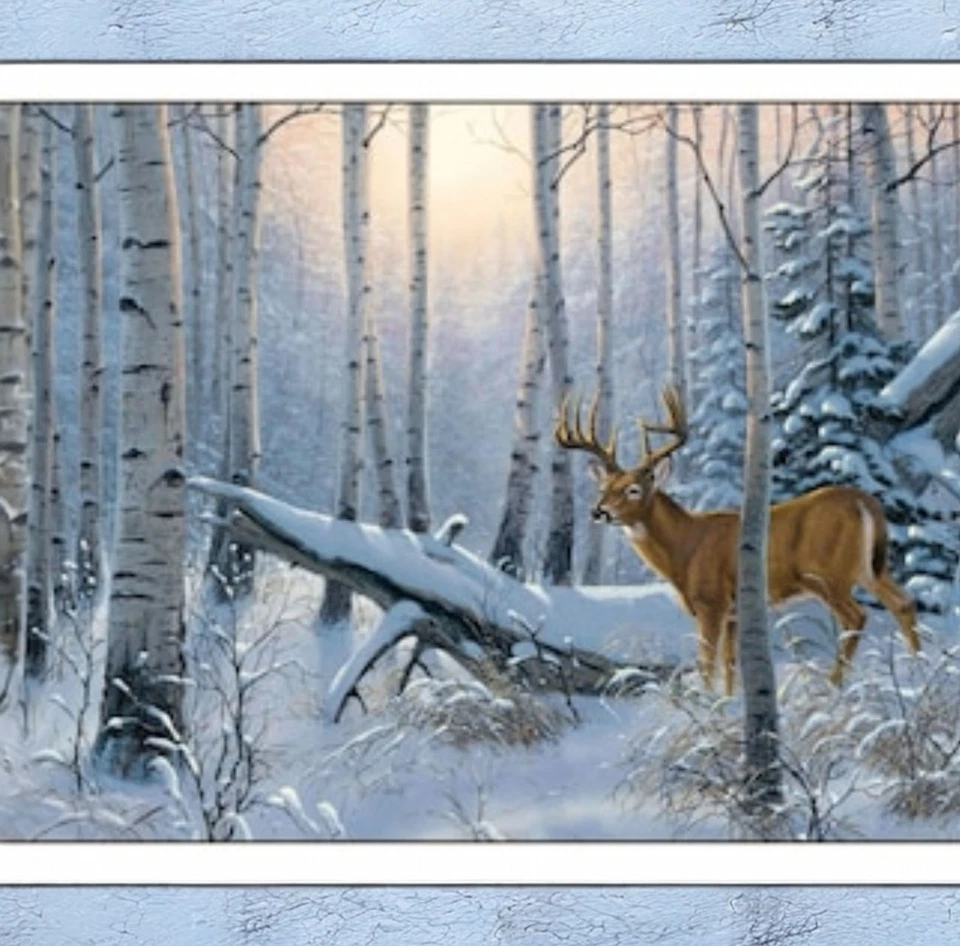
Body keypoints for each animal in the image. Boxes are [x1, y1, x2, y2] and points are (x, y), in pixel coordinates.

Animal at [555, 386, 920, 696]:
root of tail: (866, 502)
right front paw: (729, 705)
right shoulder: (734, 612)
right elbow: (731, 668)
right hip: (870, 568)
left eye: (633, 489)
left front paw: (709, 708)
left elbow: (707, 665)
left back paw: (834, 687)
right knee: (903, 602)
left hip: (828, 574)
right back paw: (919, 672)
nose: (598, 512)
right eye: (604, 488)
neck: (686, 548)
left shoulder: (711, 603)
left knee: (856, 617)